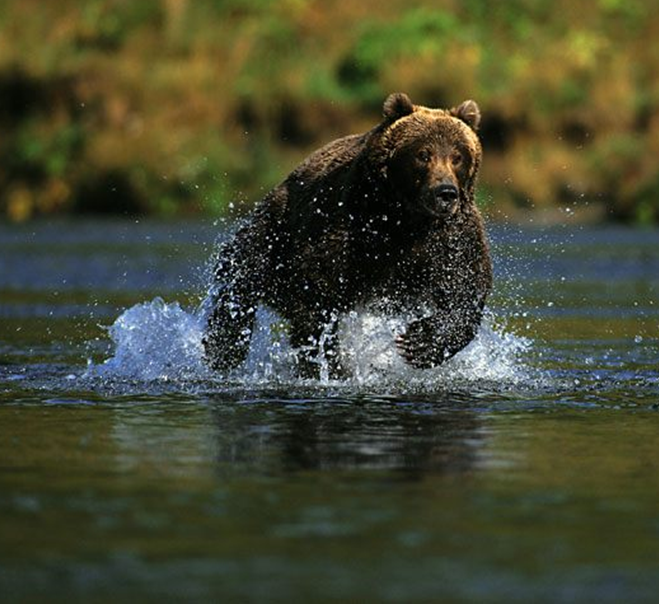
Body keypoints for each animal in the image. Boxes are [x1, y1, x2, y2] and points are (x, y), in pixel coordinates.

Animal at [204, 92, 492, 378]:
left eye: (457, 156)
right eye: (423, 154)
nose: (445, 193)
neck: (404, 218)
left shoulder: (450, 236)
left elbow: (465, 286)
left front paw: (418, 342)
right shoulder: (351, 225)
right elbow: (316, 289)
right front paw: (324, 357)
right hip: (276, 229)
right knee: (241, 278)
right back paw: (223, 351)